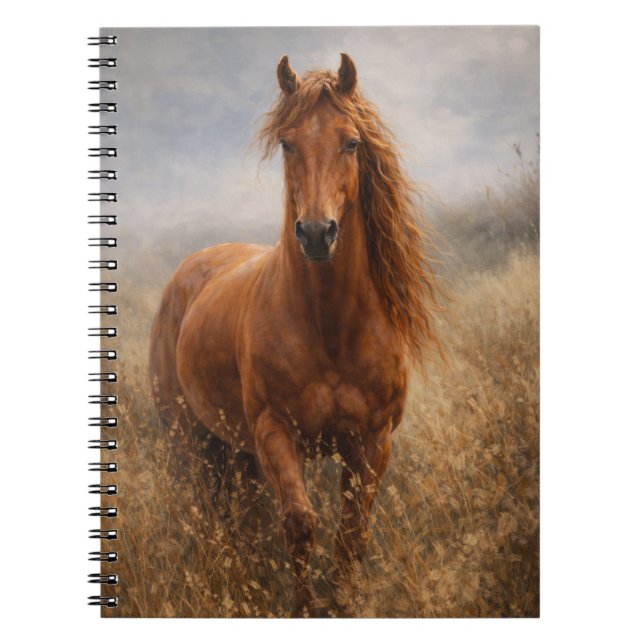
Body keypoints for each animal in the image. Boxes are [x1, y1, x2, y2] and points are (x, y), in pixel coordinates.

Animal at [149, 53, 439, 615]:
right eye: (287, 143)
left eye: (352, 142)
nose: (316, 234)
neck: (328, 326)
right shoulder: (275, 431)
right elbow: (301, 524)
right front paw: (304, 606)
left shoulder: (372, 441)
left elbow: (353, 532)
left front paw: (343, 601)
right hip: (194, 444)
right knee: (214, 517)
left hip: (237, 453)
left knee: (245, 519)